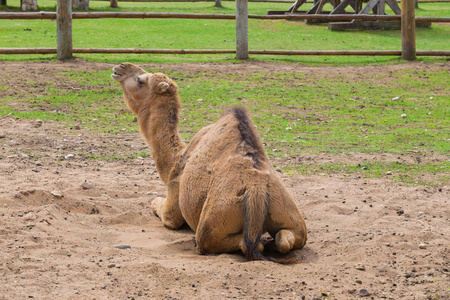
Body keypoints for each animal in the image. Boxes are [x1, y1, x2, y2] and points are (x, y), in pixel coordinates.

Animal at [112, 63, 308, 262]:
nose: (120, 67)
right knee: (285, 239)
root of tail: (256, 190)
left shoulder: (173, 204)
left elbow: (158, 206)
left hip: (212, 224)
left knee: (224, 242)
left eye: (141, 80)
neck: (177, 160)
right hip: (291, 217)